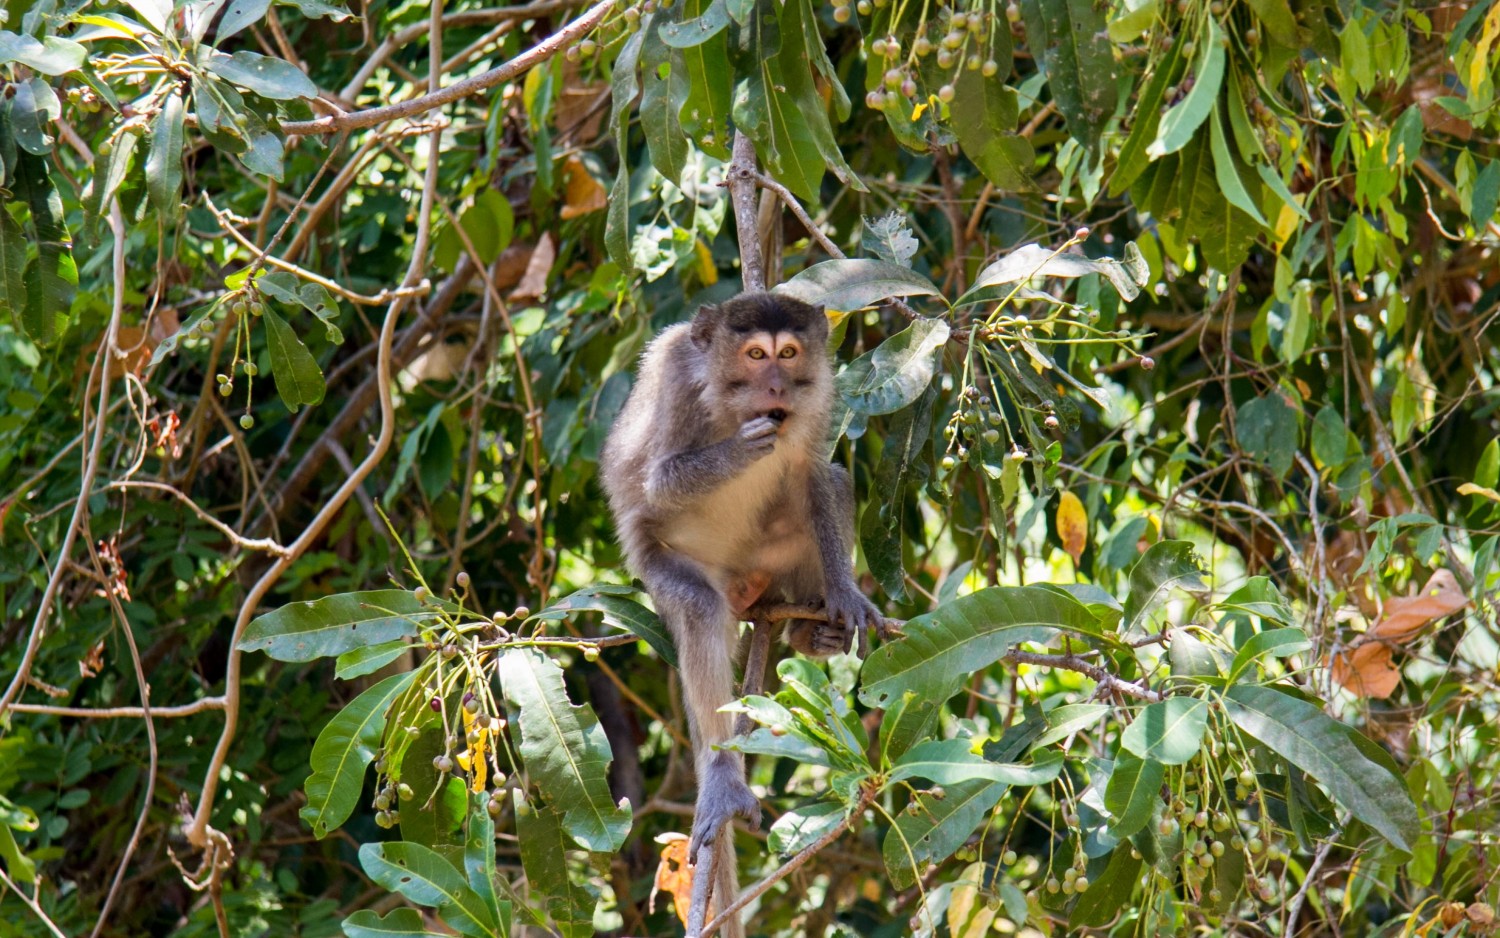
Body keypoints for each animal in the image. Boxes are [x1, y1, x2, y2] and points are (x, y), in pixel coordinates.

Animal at [597, 291, 876, 930]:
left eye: (788, 354)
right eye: (754, 355)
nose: (775, 387)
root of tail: (744, 585)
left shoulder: (820, 393)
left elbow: (813, 474)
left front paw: (845, 594)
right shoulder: (676, 380)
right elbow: (659, 479)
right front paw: (737, 449)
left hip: (768, 563)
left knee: (833, 482)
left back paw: (809, 636)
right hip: (662, 565)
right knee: (699, 606)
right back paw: (724, 783)